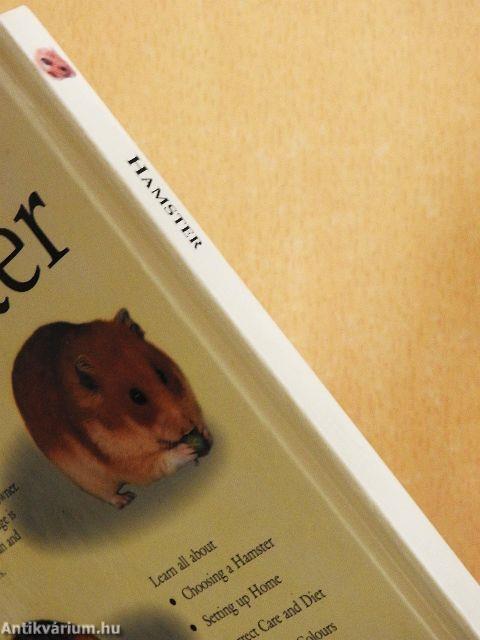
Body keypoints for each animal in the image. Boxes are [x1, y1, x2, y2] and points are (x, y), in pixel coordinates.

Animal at [12, 309, 212, 508]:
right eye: (136, 397)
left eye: (162, 374)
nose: (187, 428)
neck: (131, 423)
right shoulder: (127, 462)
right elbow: (160, 463)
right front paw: (187, 450)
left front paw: (205, 433)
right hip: (89, 480)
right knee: (109, 496)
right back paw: (127, 499)